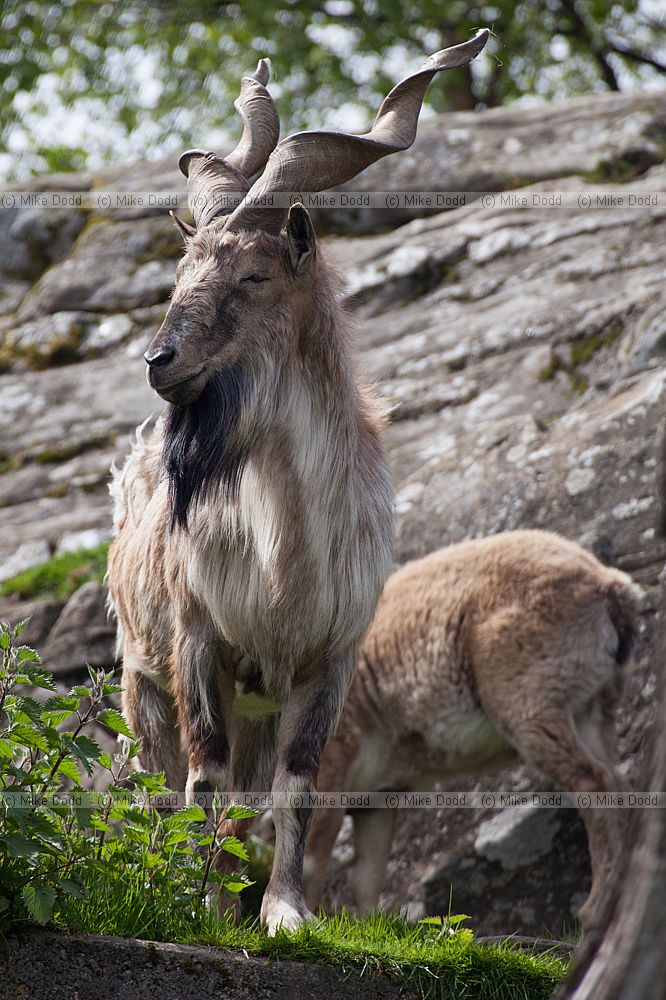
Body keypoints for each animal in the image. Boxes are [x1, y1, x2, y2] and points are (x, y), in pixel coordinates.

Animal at [107, 34, 490, 935]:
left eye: (254, 276)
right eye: (183, 268)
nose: (159, 362)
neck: (286, 552)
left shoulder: (324, 663)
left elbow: (295, 789)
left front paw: (284, 910)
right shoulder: (200, 644)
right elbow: (203, 782)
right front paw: (202, 906)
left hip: (259, 705)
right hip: (143, 676)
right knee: (154, 786)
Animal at [303, 530, 642, 931]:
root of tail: (610, 587)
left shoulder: (333, 758)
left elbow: (310, 857)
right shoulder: (377, 796)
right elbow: (365, 879)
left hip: (530, 703)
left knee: (594, 783)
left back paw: (594, 909)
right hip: (591, 707)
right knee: (619, 786)